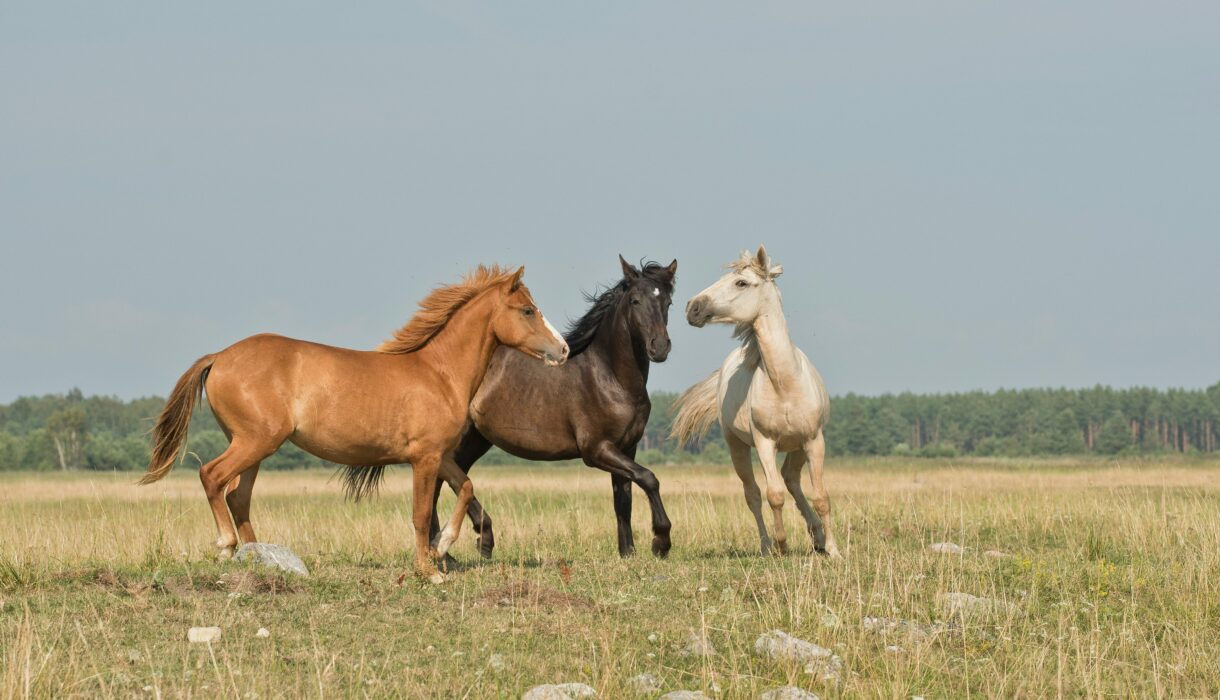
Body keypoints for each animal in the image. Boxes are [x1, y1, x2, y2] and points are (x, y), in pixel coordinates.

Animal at [139, 265, 569, 583]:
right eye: (527, 310)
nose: (563, 350)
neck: (439, 373)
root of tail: (220, 356)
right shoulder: (424, 458)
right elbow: (419, 513)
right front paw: (428, 570)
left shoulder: (440, 455)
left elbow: (465, 487)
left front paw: (442, 546)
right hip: (254, 442)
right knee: (212, 477)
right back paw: (227, 547)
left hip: (254, 447)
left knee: (237, 496)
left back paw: (261, 557)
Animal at [419, 256, 677, 558]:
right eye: (635, 300)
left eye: (668, 302)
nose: (659, 347)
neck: (610, 377)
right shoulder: (597, 450)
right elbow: (649, 478)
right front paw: (660, 541)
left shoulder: (627, 447)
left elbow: (623, 500)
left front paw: (628, 553)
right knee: (442, 480)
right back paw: (456, 546)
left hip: (476, 439)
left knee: (449, 480)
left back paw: (459, 546)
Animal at [671, 246, 838, 557]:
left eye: (741, 283)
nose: (692, 307)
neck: (785, 384)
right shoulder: (764, 443)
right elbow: (774, 495)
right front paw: (782, 545)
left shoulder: (814, 441)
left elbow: (821, 496)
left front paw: (834, 550)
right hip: (737, 446)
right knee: (754, 494)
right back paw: (766, 545)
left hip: (798, 447)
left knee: (792, 479)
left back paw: (818, 537)